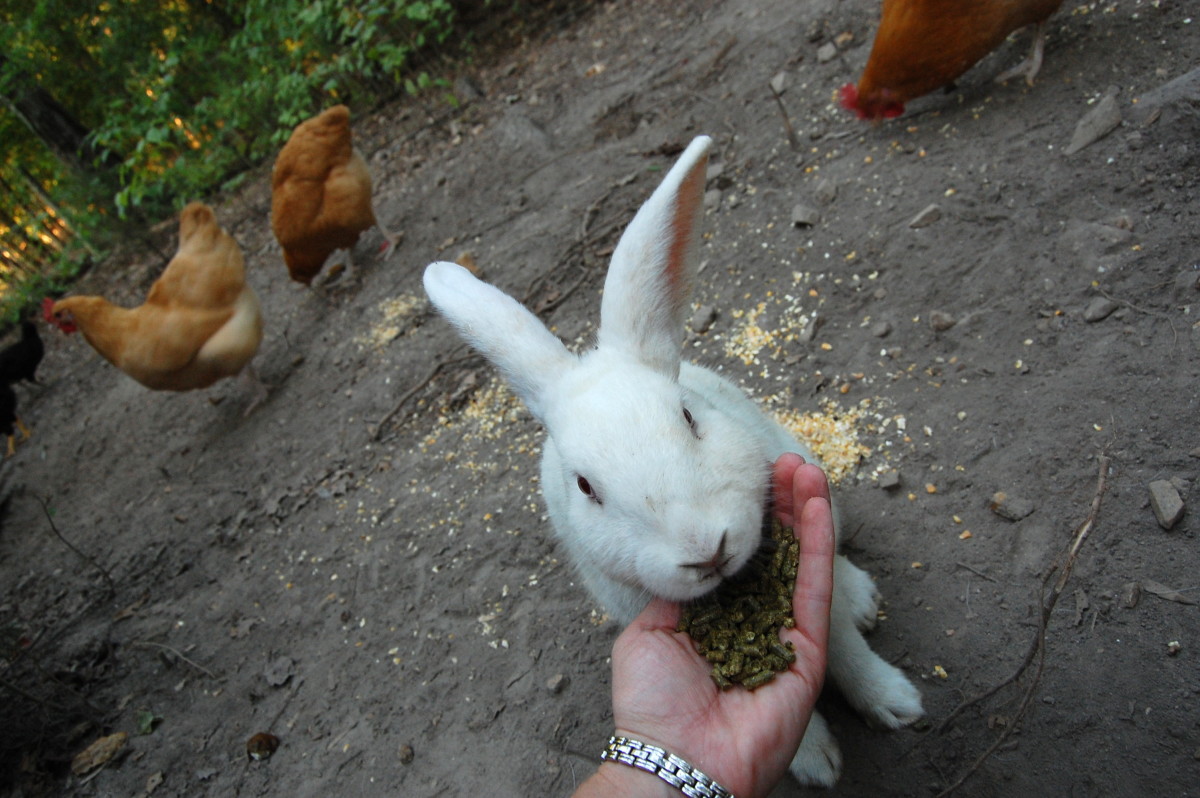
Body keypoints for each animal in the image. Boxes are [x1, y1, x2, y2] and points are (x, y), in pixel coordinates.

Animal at [427, 135, 921, 782]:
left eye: (688, 417)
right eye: (585, 487)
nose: (705, 551)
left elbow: (842, 642)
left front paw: (897, 704)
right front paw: (816, 762)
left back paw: (864, 598)